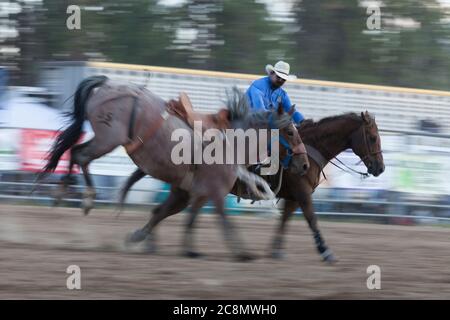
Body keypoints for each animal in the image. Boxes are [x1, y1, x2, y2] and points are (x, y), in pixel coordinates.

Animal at [37, 75, 310, 260]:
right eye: (289, 131)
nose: (305, 164)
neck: (231, 143)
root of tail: (107, 85)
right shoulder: (213, 192)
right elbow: (222, 221)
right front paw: (241, 252)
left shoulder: (189, 193)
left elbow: (169, 215)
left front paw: (142, 238)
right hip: (107, 140)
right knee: (80, 155)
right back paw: (83, 197)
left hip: (106, 141)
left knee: (75, 153)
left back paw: (68, 193)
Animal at [118, 110, 384, 262]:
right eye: (372, 137)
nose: (380, 168)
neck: (309, 149)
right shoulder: (302, 193)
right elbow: (312, 219)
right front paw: (326, 251)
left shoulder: (293, 197)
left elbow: (285, 220)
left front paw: (276, 250)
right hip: (187, 193)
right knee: (165, 212)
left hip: (182, 193)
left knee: (160, 211)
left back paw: (144, 240)